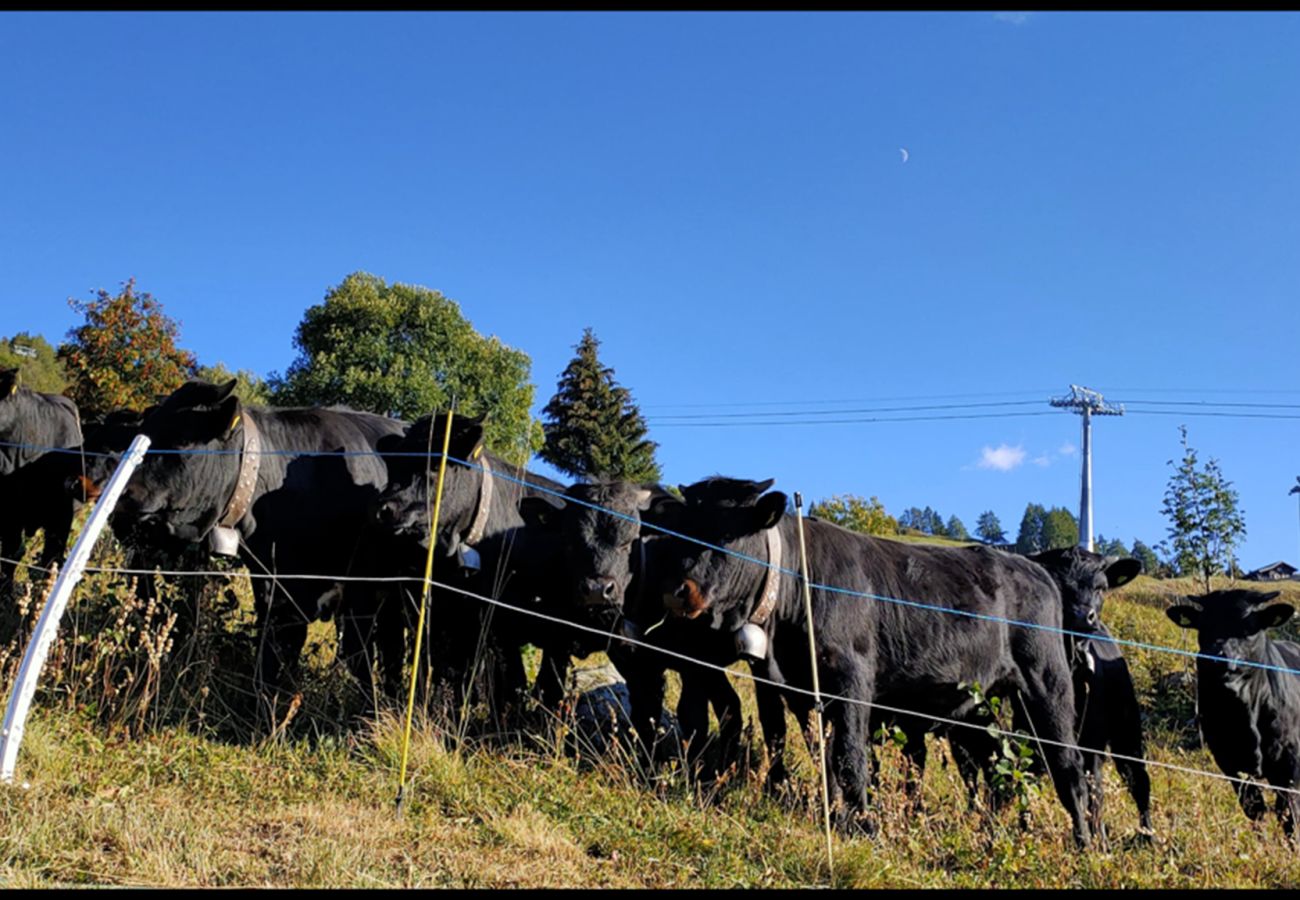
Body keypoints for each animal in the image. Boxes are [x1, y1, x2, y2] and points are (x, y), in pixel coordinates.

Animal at [115, 379, 405, 697]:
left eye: (182, 441)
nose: (123, 500)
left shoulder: (360, 589)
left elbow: (358, 655)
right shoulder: (272, 583)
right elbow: (274, 648)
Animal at [655, 473, 1092, 847]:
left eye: (727, 533)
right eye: (683, 530)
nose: (679, 590)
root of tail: (1034, 568)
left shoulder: (852, 680)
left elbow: (849, 756)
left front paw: (864, 826)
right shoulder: (796, 690)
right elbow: (822, 756)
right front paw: (834, 815)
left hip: (1046, 681)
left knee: (1067, 763)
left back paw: (1086, 843)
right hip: (980, 705)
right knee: (997, 763)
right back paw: (992, 832)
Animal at [1170, 590, 1300, 837]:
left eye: (1248, 626)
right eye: (1202, 625)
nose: (1214, 657)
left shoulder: (1290, 764)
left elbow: (1289, 815)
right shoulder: (1226, 760)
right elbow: (1254, 807)